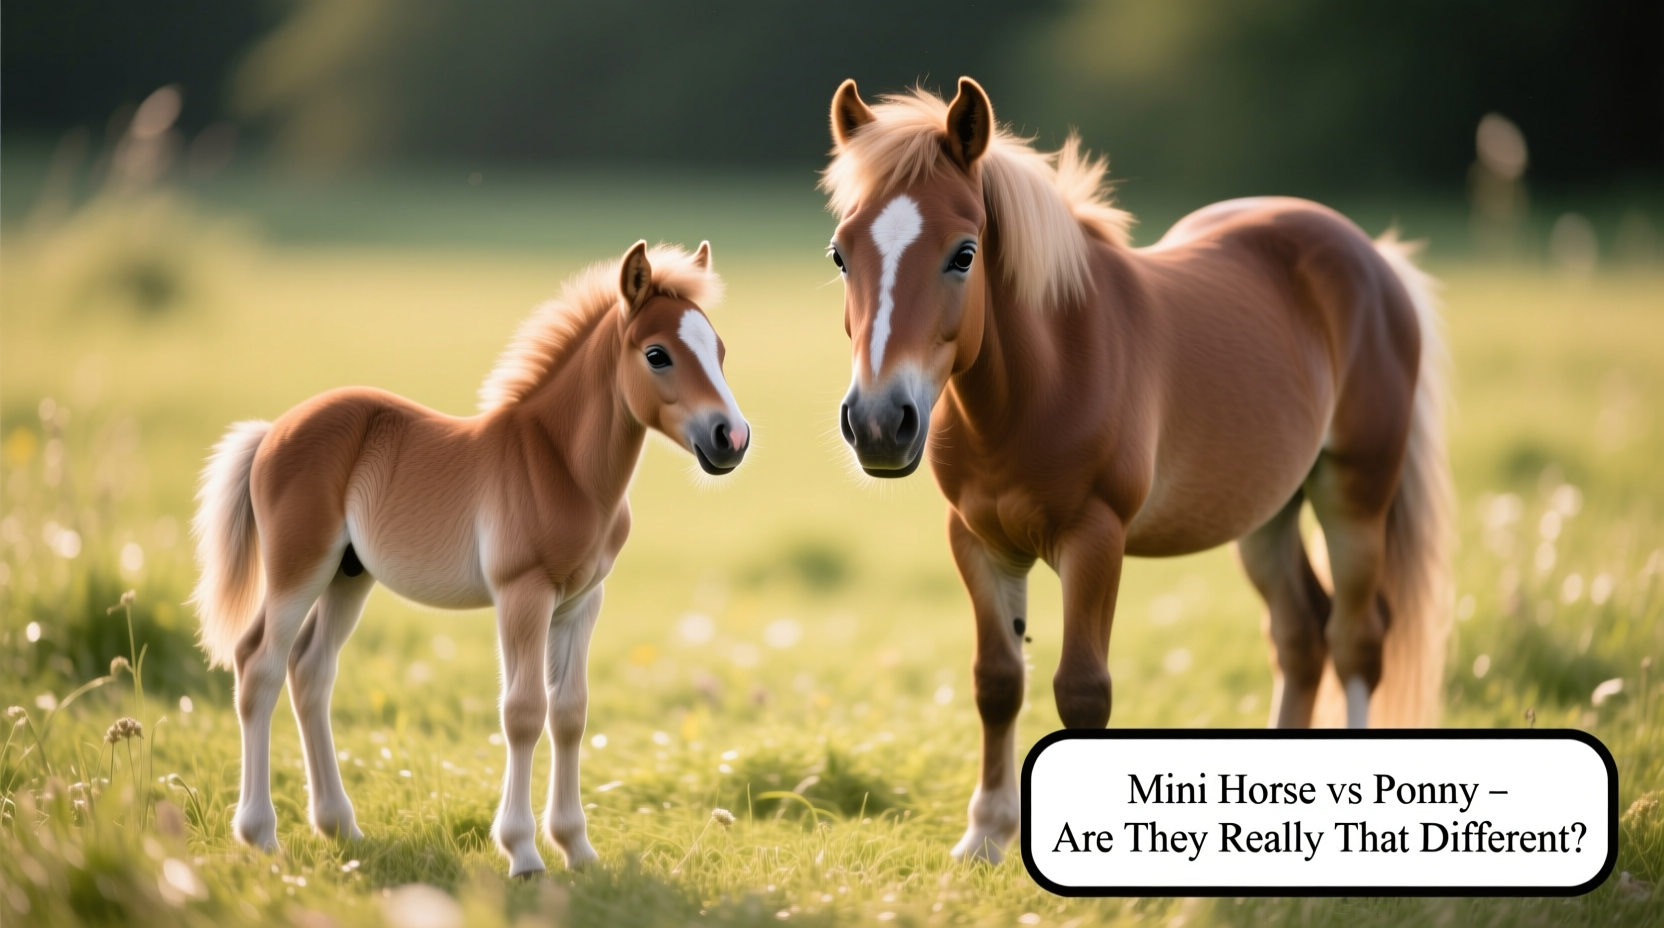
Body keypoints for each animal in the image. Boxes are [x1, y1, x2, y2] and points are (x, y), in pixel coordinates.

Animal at [190, 241, 748, 876]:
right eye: (657, 354)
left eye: (719, 350)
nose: (732, 438)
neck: (561, 465)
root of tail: (271, 432)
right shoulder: (522, 593)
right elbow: (524, 711)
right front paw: (524, 853)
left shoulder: (582, 600)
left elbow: (571, 712)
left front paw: (577, 849)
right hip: (298, 568)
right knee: (259, 664)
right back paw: (260, 833)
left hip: (347, 577)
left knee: (310, 670)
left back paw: (341, 827)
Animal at [820, 78, 1453, 862]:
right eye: (841, 254)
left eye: (964, 254)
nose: (880, 423)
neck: (1038, 385)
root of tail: (1373, 257)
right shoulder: (978, 540)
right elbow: (998, 681)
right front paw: (987, 836)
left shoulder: (1096, 540)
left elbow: (1083, 691)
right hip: (1266, 514)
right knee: (1301, 634)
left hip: (1355, 498)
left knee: (1355, 639)